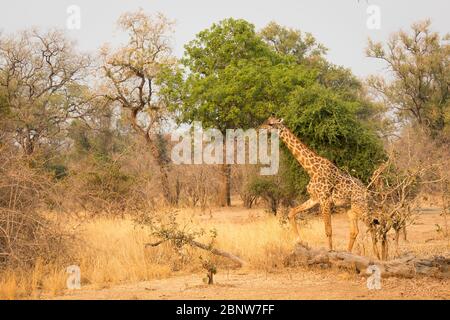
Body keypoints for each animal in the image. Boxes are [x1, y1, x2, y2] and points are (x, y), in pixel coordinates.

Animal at [262, 115, 378, 255]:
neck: (311, 170)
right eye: (266, 121)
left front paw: (330, 251)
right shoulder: (314, 199)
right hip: (351, 210)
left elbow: (328, 229)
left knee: (373, 227)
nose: (260, 129)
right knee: (355, 231)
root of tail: (368, 193)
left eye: (271, 124)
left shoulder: (325, 200)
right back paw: (349, 252)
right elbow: (292, 212)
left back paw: (379, 256)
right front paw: (299, 241)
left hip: (361, 207)